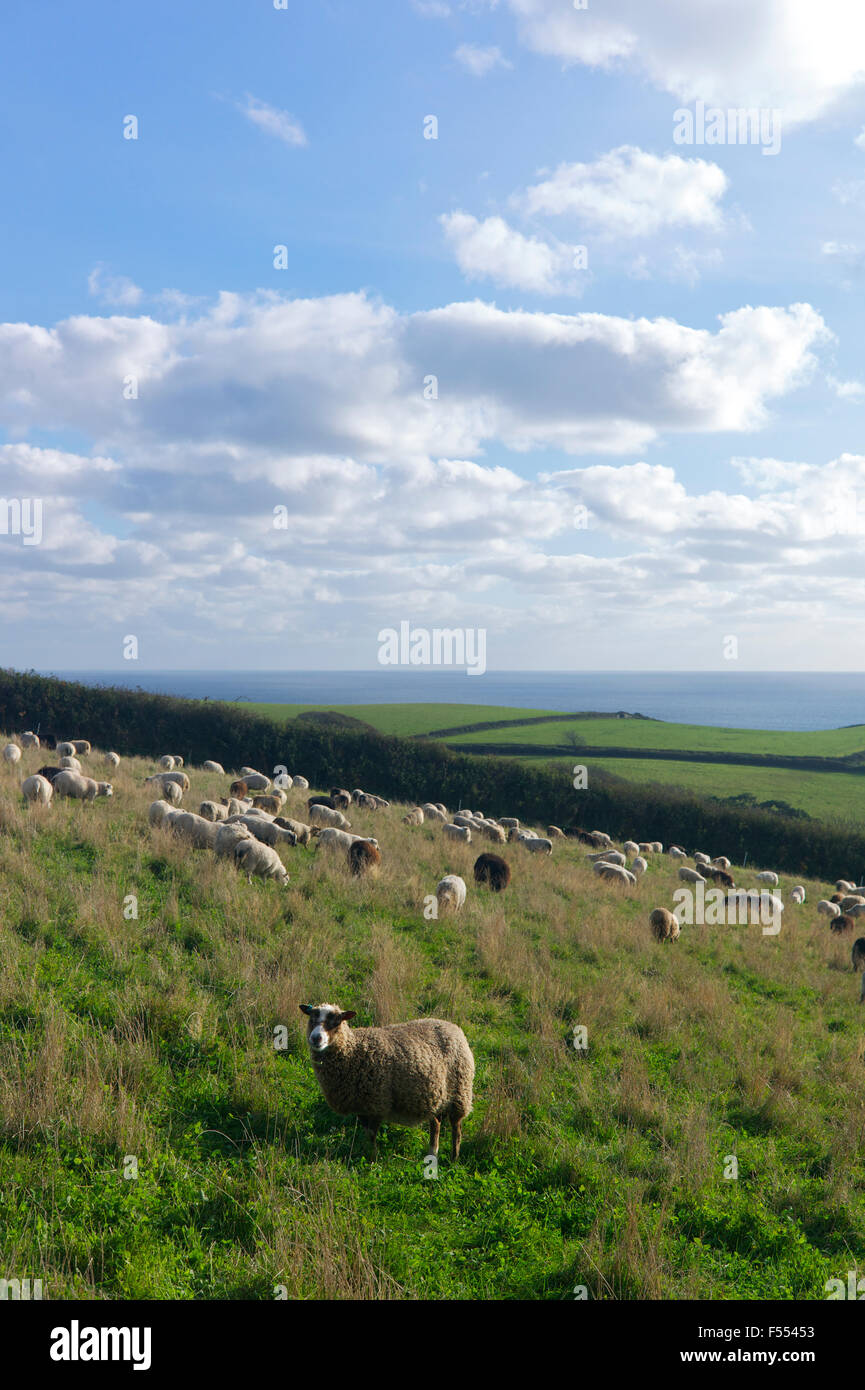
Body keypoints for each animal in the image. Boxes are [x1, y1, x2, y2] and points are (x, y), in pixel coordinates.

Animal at [297, 1000, 475, 1162]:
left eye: (337, 1020)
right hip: (436, 1095)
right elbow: (367, 1134)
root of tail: (454, 1027)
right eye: (311, 1018)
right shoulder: (361, 1106)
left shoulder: (377, 1103)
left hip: (460, 1092)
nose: (316, 1038)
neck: (354, 1051)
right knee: (436, 1123)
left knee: (456, 1127)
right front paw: (370, 1155)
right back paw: (432, 1154)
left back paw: (454, 1159)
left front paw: (373, 1159)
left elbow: (371, 1135)